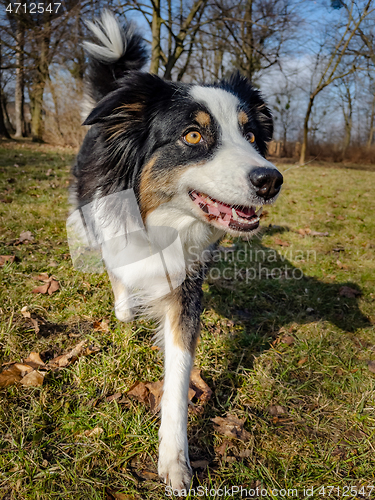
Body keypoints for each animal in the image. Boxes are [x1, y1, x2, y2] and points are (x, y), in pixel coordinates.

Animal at [70, 9, 284, 494]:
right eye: (192, 136)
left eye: (250, 134)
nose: (270, 180)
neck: (164, 222)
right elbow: (120, 276)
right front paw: (126, 309)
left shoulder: (186, 290)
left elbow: (179, 376)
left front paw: (174, 461)